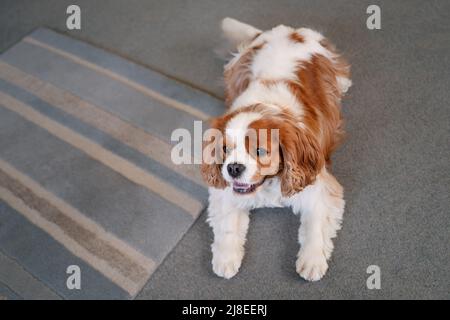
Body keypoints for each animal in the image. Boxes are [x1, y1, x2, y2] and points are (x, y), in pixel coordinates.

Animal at [201, 18, 352, 282]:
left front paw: (312, 260)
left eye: (260, 151)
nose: (234, 168)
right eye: (225, 149)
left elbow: (315, 226)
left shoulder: (320, 188)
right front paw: (226, 259)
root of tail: (287, 31)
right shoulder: (224, 192)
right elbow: (228, 225)